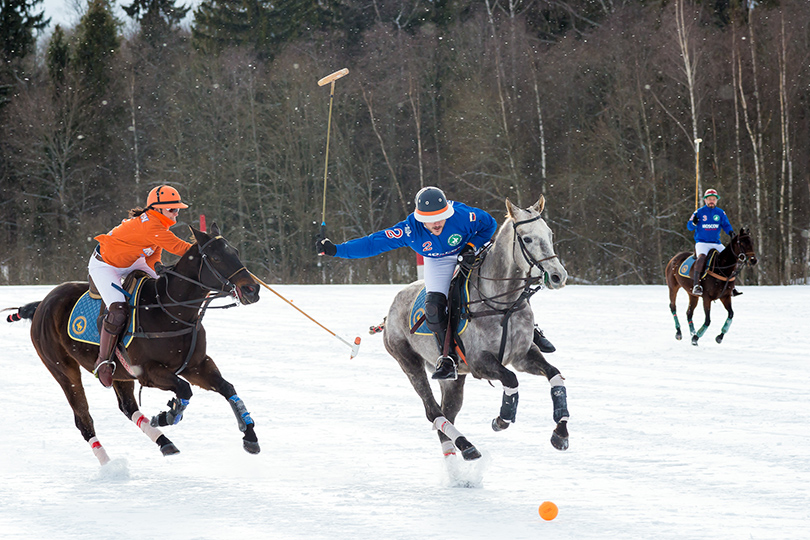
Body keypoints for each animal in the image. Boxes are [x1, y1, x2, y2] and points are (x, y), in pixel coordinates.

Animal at [7, 224, 260, 464]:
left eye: (235, 252)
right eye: (216, 258)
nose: (252, 289)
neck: (171, 312)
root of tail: (42, 303)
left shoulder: (196, 365)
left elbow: (227, 388)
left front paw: (250, 436)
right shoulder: (148, 372)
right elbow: (184, 389)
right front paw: (167, 415)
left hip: (119, 374)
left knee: (128, 407)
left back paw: (164, 442)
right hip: (62, 369)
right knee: (83, 418)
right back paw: (109, 464)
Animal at [380, 196, 564, 462]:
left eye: (549, 234)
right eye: (527, 239)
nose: (559, 276)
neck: (502, 304)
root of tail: (391, 309)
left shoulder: (522, 356)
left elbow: (555, 375)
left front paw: (561, 432)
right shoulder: (479, 362)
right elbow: (511, 379)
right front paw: (502, 418)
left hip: (454, 379)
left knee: (447, 412)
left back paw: (455, 452)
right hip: (408, 361)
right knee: (433, 411)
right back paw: (466, 445)